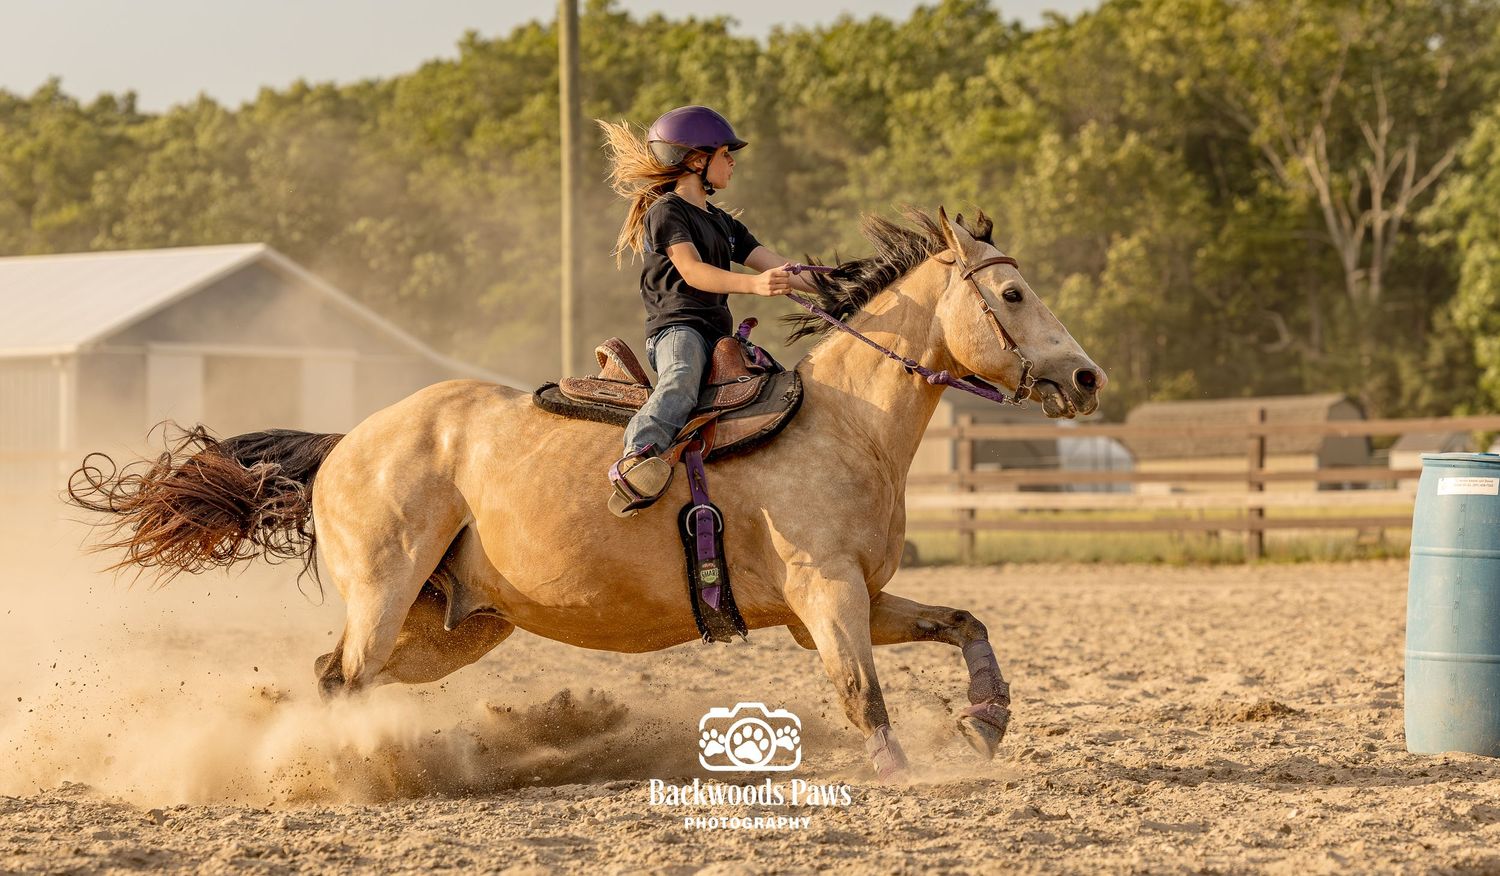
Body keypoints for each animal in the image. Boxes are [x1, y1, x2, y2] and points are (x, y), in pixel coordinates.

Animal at [68, 207, 1105, 781]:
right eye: (1013, 295)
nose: (1087, 377)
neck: (845, 422)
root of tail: (344, 445)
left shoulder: (859, 596)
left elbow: (965, 622)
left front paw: (987, 721)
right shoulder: (828, 595)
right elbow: (863, 695)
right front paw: (908, 772)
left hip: (451, 623)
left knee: (336, 678)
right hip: (385, 593)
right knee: (341, 680)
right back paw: (352, 774)